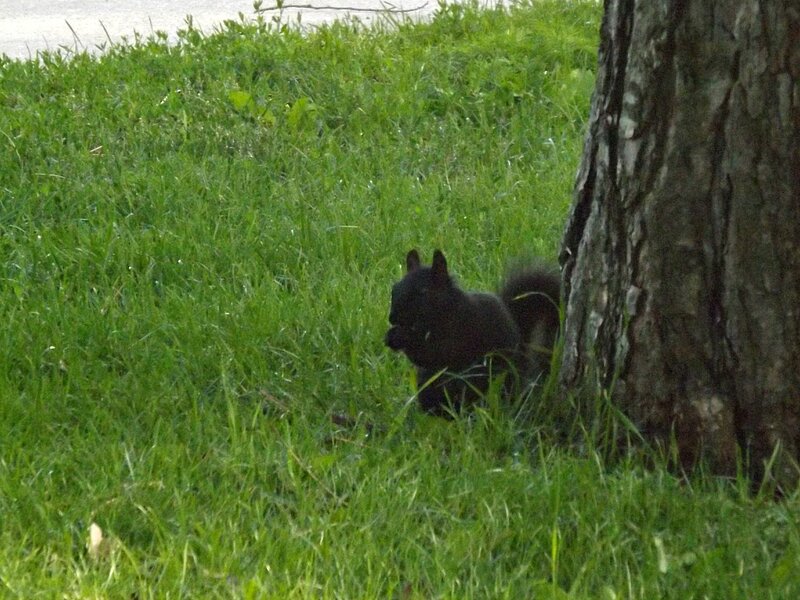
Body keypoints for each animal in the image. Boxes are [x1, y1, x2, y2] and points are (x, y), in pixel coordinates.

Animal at [385, 249, 560, 416]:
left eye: (422, 293)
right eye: (394, 288)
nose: (392, 318)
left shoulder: (462, 329)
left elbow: (435, 353)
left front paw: (400, 337)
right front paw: (391, 335)